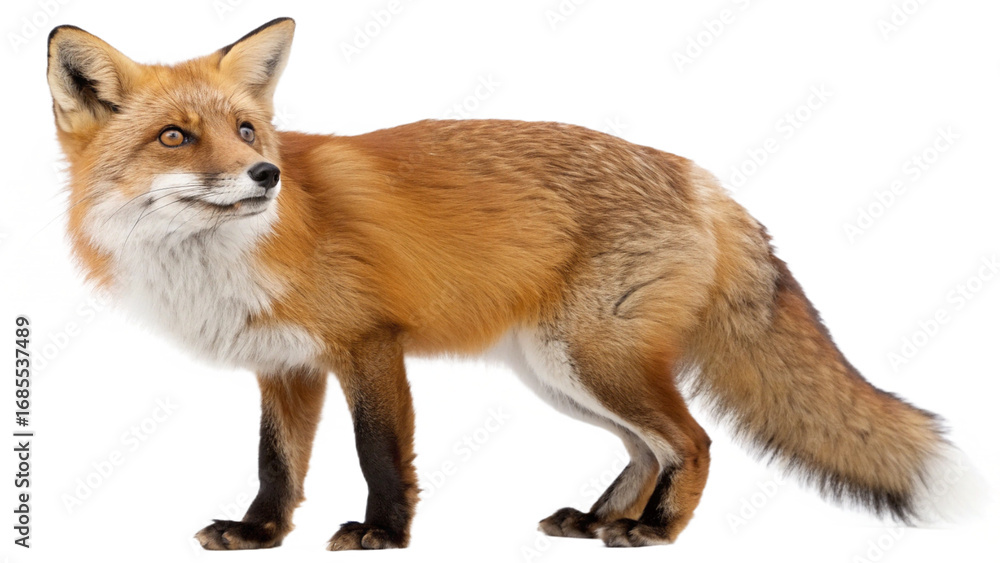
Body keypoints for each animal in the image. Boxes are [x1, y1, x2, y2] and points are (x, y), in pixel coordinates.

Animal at [46, 17, 977, 551]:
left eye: (245, 130)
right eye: (175, 136)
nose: (266, 174)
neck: (224, 258)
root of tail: (699, 176)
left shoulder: (368, 344)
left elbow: (379, 452)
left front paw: (384, 532)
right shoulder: (287, 366)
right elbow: (279, 463)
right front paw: (259, 531)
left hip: (591, 359)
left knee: (694, 440)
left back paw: (653, 529)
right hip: (560, 372)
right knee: (648, 447)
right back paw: (599, 518)